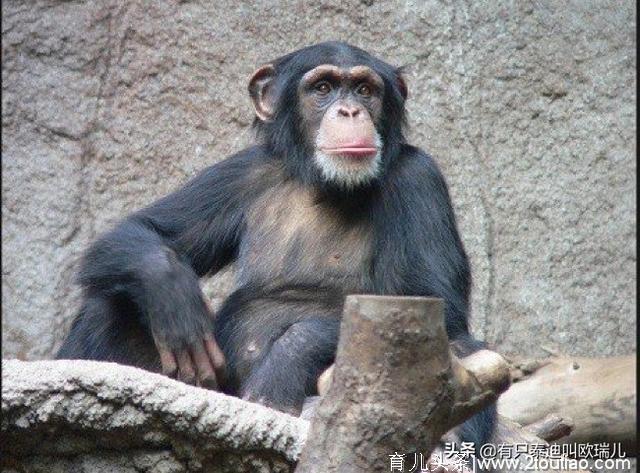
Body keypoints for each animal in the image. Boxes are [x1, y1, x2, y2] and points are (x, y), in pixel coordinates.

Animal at [57, 43, 496, 450]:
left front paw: (288, 360)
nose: (350, 112)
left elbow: (438, 308)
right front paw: (173, 294)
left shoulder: (421, 179)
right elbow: (146, 231)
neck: (326, 185)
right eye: (323, 88)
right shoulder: (241, 171)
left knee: (463, 347)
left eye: (365, 89)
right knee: (111, 302)